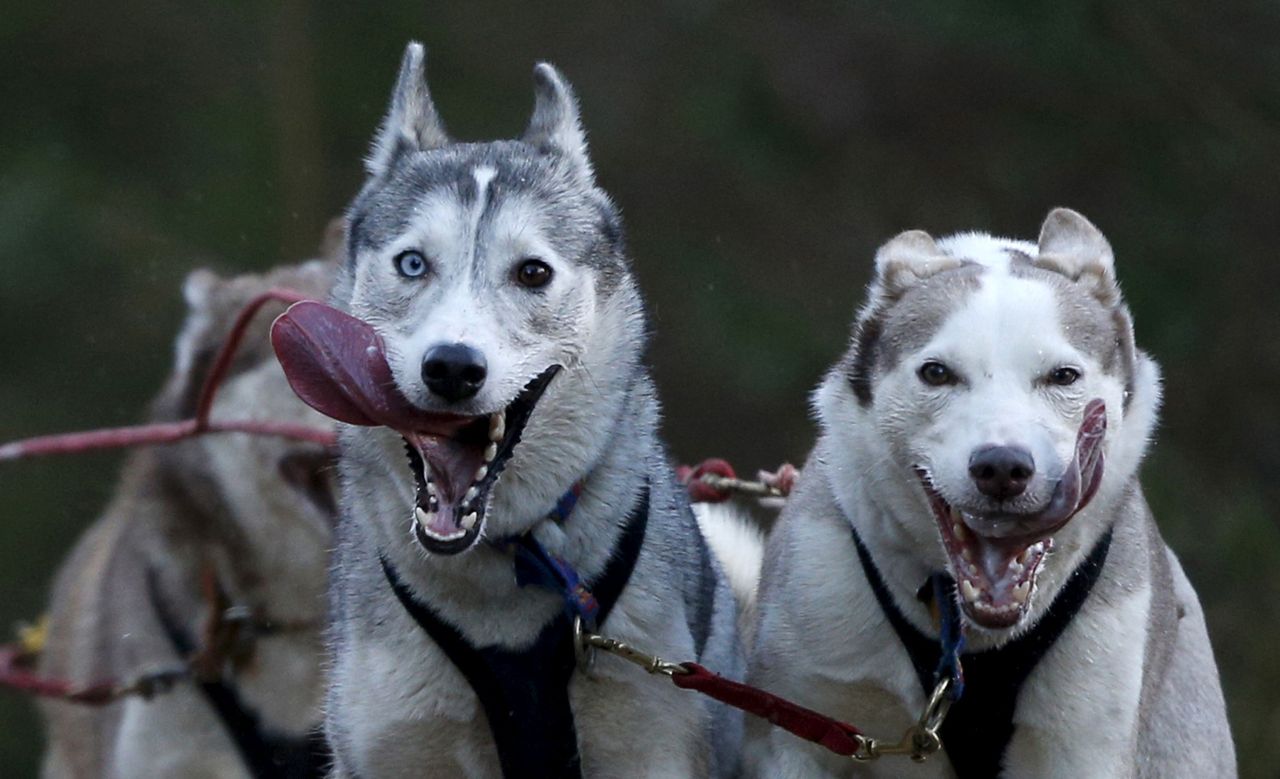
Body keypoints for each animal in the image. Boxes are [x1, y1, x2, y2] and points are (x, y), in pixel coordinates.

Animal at [747, 209, 1233, 772]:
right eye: (936, 372)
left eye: (1063, 375)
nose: (1002, 466)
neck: (967, 639)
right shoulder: (802, 711)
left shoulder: (1083, 737)